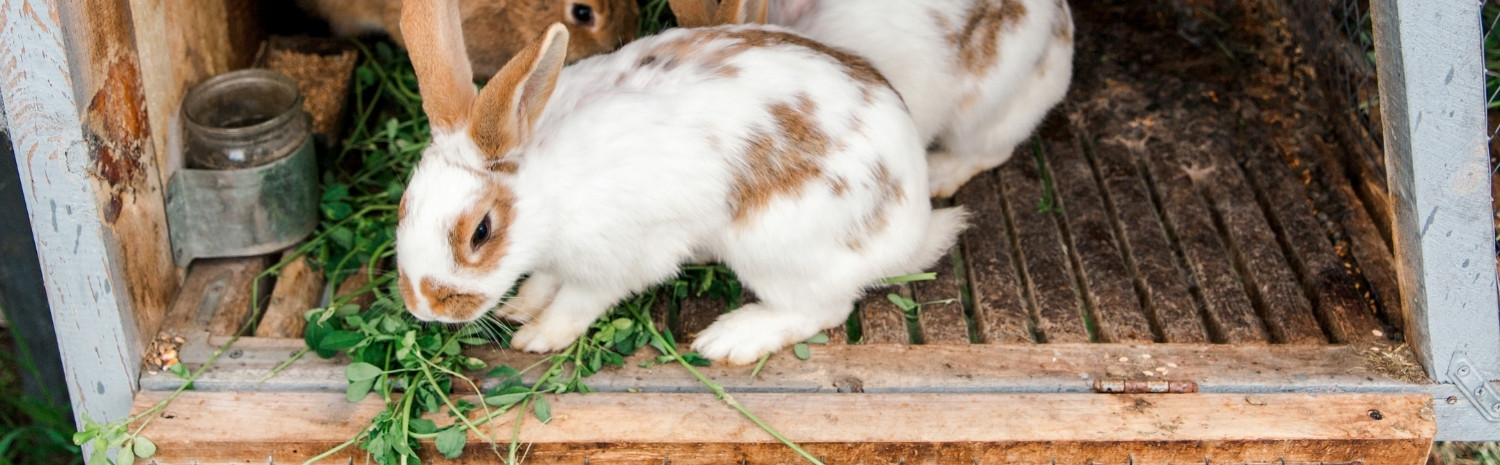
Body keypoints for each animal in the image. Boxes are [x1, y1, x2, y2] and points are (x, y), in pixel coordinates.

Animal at [394, 0, 966, 365]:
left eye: (481, 232)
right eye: (405, 206)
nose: (424, 307)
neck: (546, 190)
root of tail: (912, 229)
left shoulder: (621, 258)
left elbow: (580, 300)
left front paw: (538, 336)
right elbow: (545, 281)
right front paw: (521, 305)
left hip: (776, 251)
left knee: (825, 308)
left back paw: (730, 340)